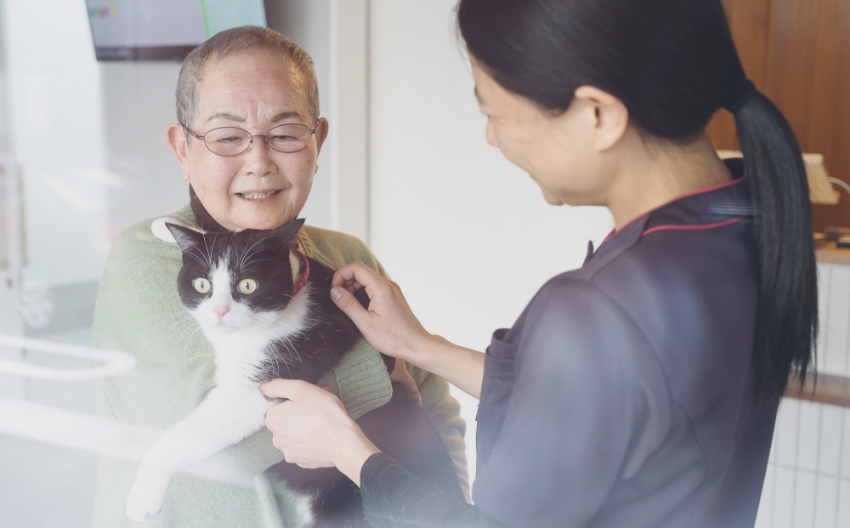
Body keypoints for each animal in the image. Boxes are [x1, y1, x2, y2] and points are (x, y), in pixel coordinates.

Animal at [124, 218, 464, 524]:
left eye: (248, 285)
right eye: (202, 284)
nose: (220, 311)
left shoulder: (271, 375)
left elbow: (183, 434)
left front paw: (143, 495)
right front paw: (166, 226)